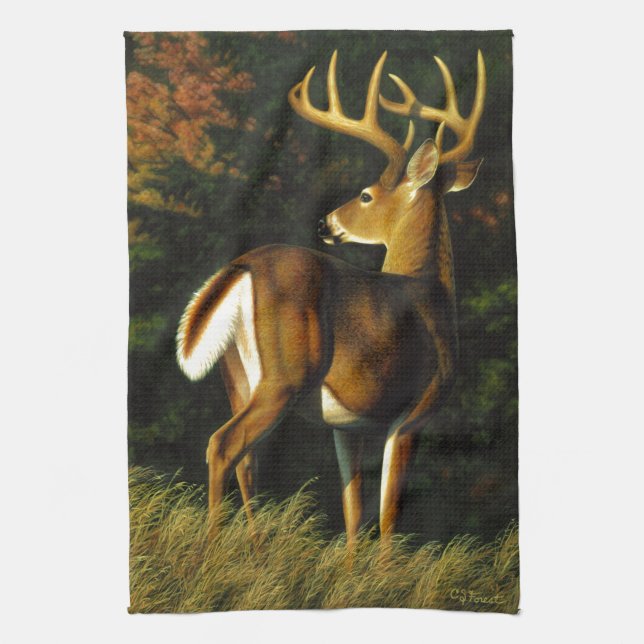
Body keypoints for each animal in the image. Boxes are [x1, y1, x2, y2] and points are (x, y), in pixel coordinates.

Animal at [176, 49, 486, 546]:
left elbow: (354, 508)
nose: (325, 223)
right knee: (224, 444)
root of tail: (239, 267)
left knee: (246, 459)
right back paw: (213, 548)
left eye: (365, 195)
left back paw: (253, 547)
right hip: (285, 375)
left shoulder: (348, 424)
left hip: (236, 375)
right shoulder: (418, 408)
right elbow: (389, 512)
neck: (430, 290)